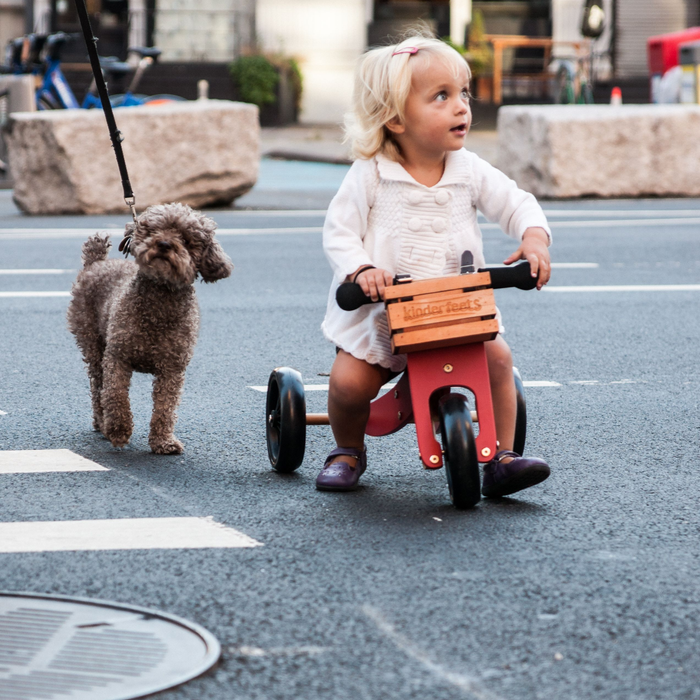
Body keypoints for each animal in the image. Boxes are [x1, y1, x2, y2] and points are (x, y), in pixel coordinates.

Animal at [68, 202, 232, 454]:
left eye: (186, 239)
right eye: (153, 230)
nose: (163, 244)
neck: (159, 302)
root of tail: (96, 263)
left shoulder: (172, 368)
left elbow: (165, 407)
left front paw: (163, 441)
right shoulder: (117, 356)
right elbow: (115, 394)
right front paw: (118, 430)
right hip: (92, 342)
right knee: (98, 388)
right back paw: (103, 424)